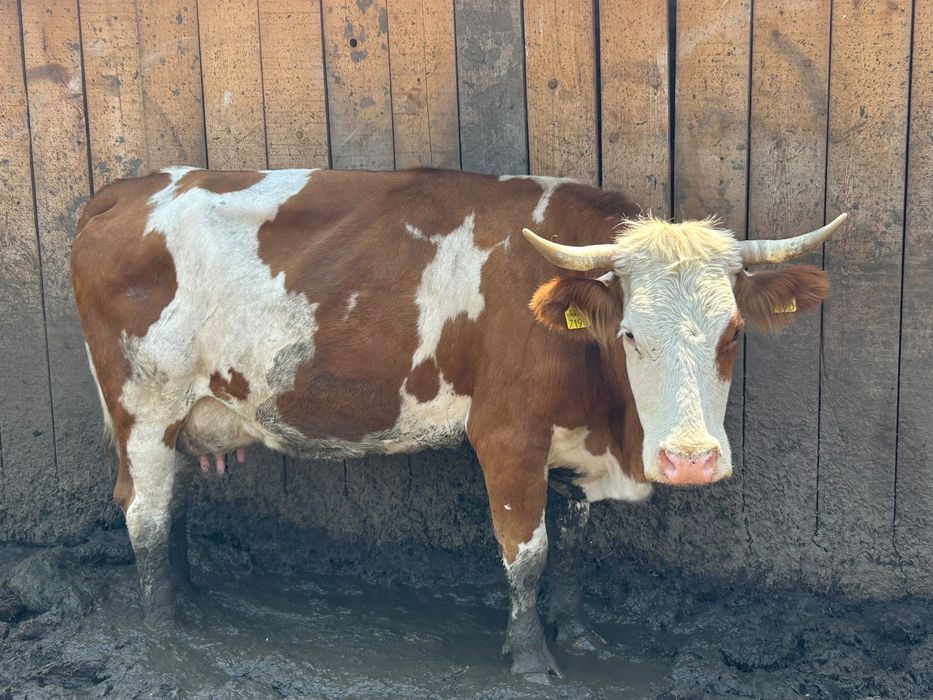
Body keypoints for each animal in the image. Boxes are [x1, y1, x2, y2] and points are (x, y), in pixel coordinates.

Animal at [71, 167, 845, 683]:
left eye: (733, 332)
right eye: (629, 334)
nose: (691, 459)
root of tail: (130, 188)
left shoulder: (572, 446)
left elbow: (575, 548)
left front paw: (579, 634)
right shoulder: (506, 434)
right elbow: (528, 553)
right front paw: (531, 661)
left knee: (172, 503)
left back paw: (191, 598)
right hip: (144, 402)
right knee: (144, 513)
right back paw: (167, 629)